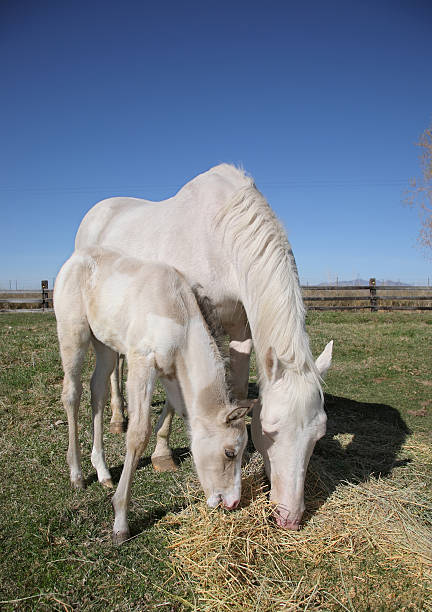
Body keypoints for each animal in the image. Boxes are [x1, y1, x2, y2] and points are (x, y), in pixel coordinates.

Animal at [54, 246, 246, 544]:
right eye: (229, 453)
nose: (233, 502)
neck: (178, 314)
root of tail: (74, 258)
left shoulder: (171, 375)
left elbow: (181, 413)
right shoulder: (142, 362)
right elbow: (138, 434)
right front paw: (120, 521)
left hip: (105, 345)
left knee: (97, 391)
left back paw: (102, 471)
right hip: (73, 334)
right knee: (72, 394)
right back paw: (77, 474)